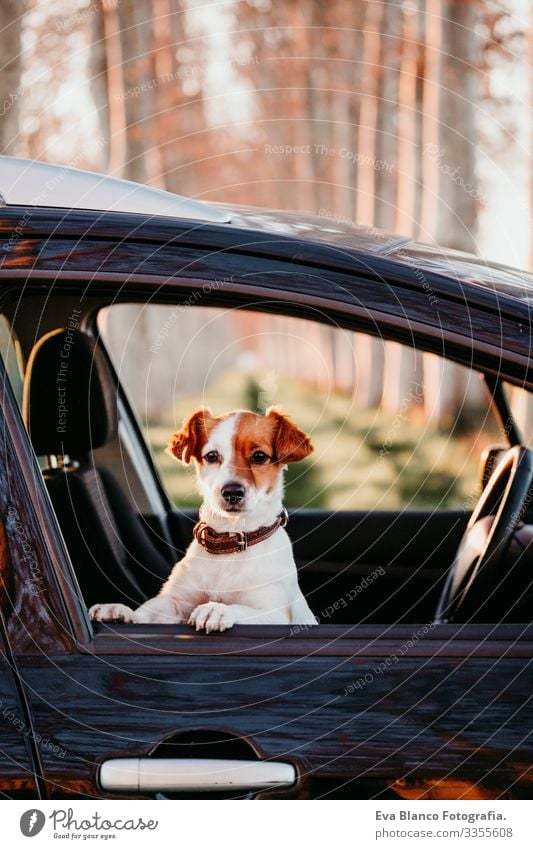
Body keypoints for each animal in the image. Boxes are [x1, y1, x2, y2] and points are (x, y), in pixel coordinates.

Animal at [89, 404, 318, 628]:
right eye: (212, 456)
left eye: (260, 457)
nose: (232, 492)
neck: (230, 540)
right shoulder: (175, 602)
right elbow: (148, 611)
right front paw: (120, 610)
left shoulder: (275, 614)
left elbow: (241, 609)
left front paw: (217, 609)